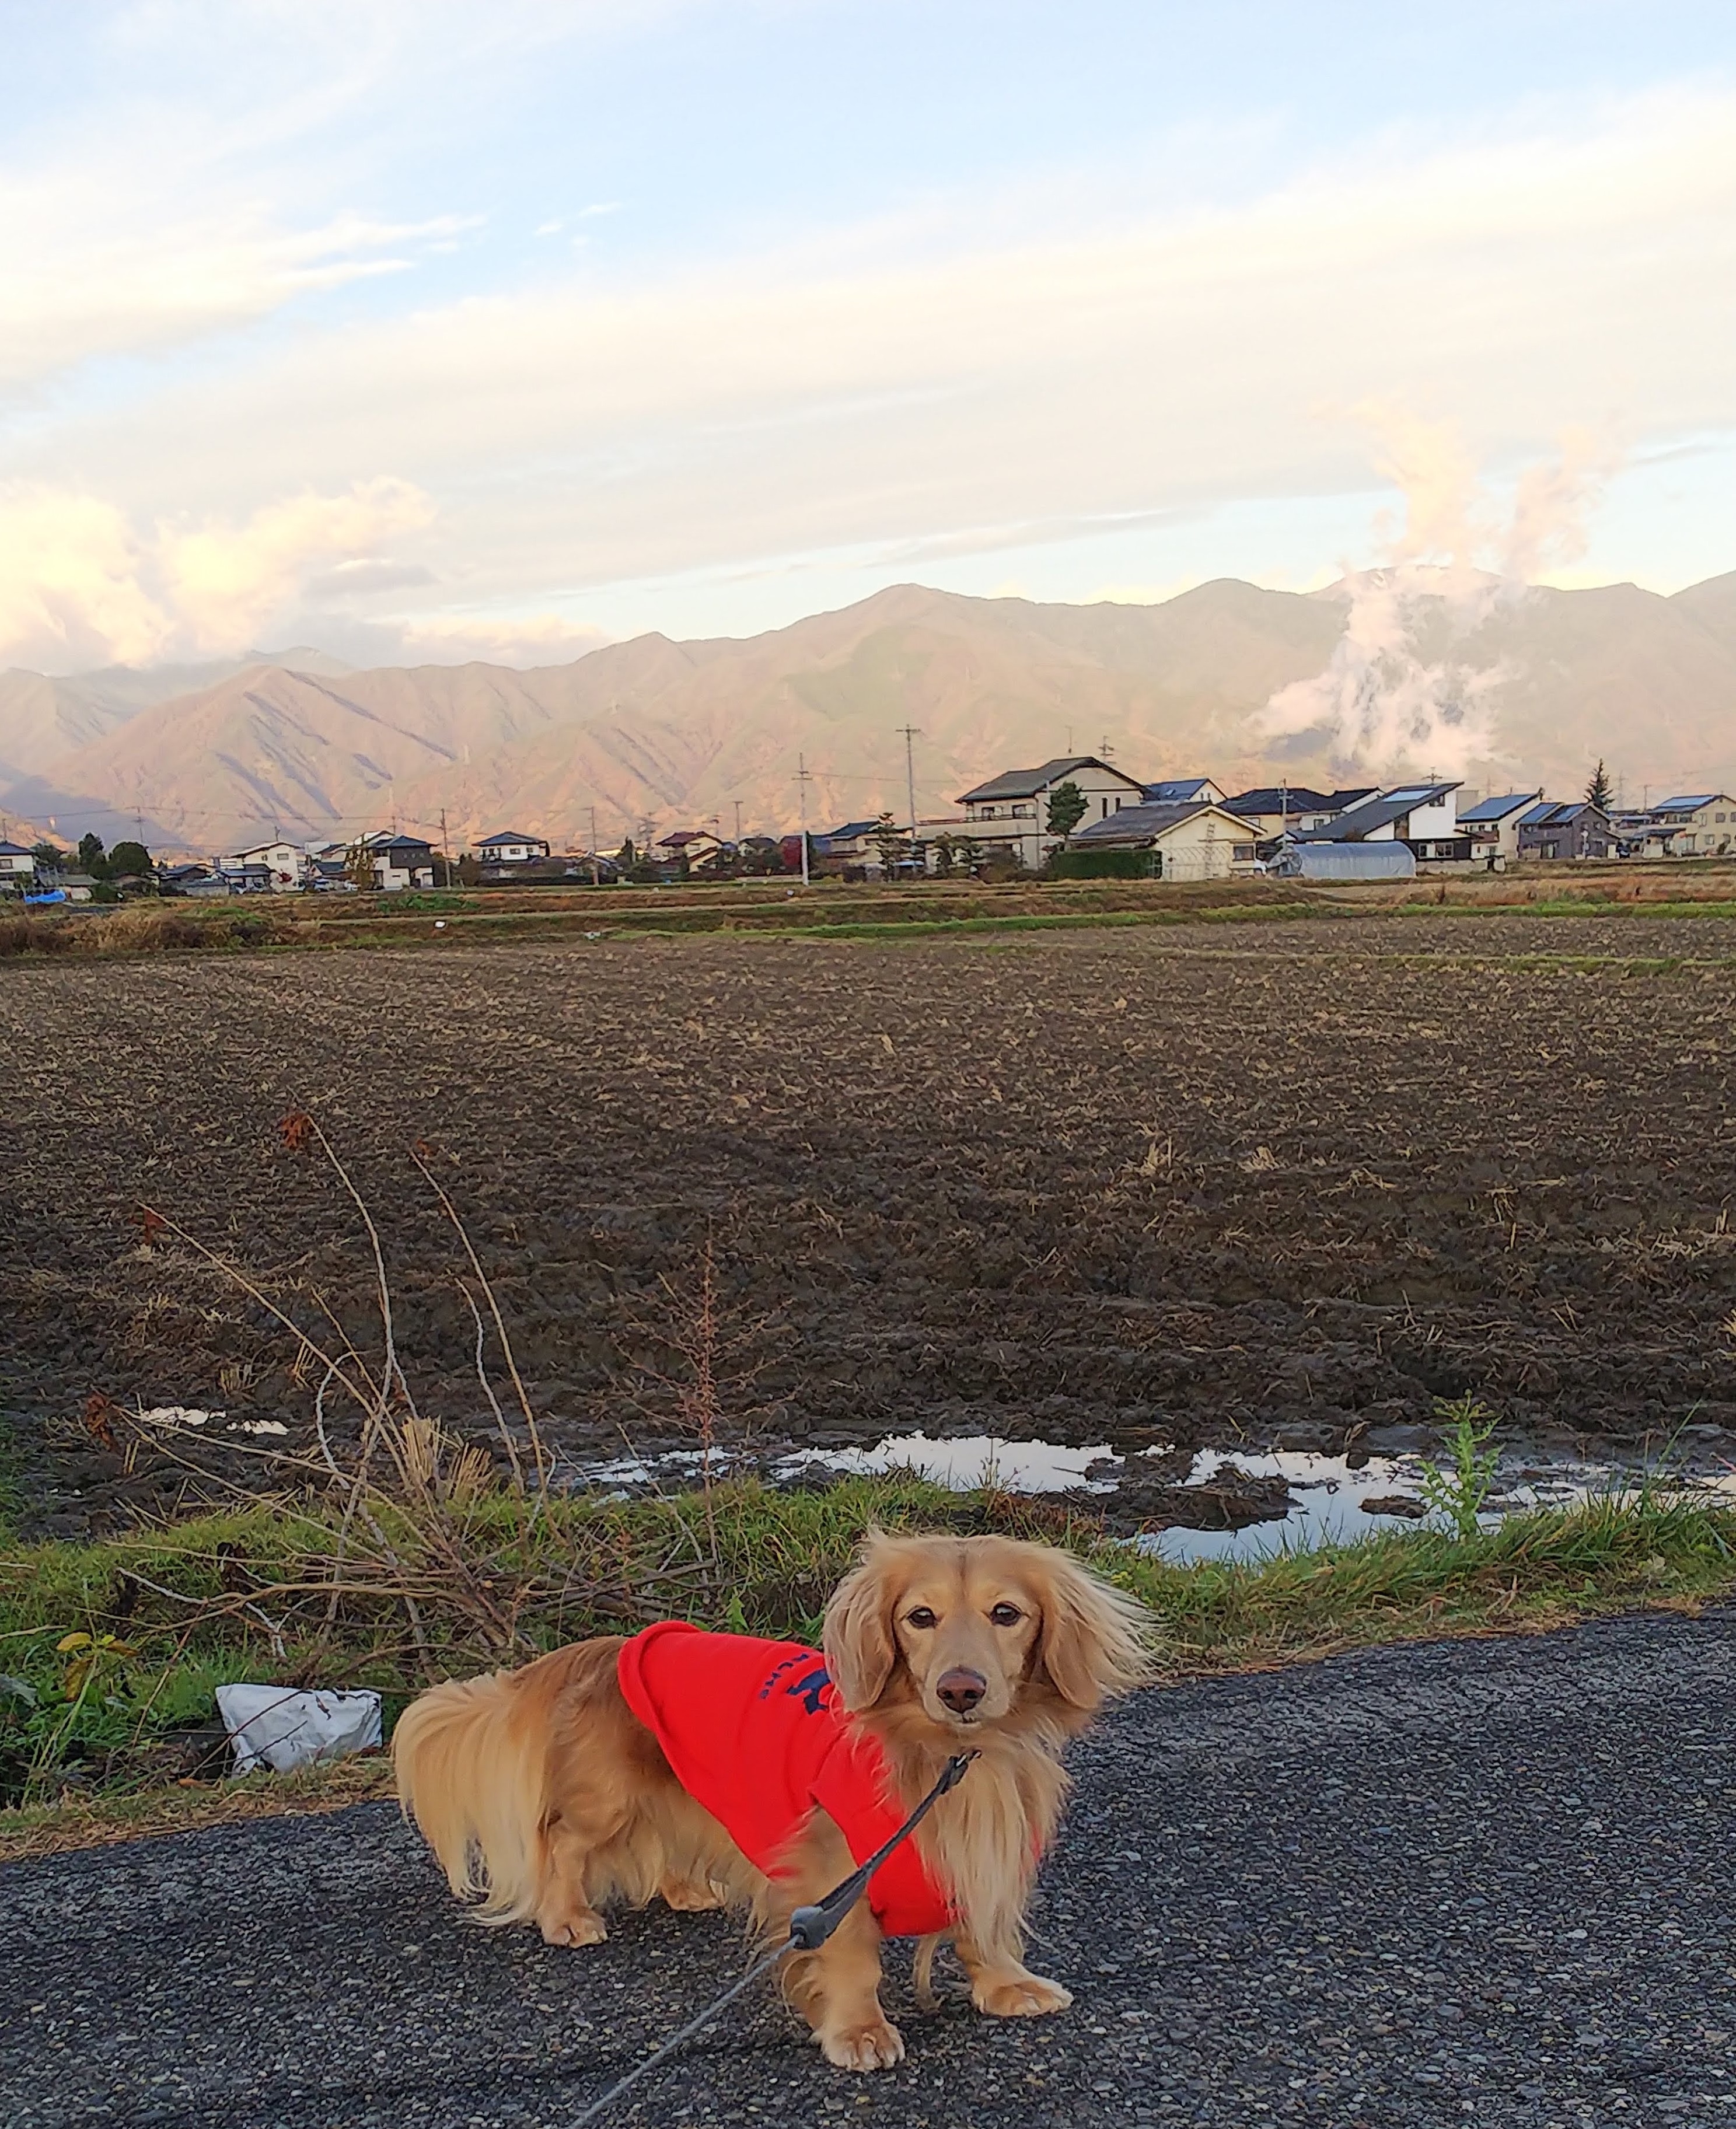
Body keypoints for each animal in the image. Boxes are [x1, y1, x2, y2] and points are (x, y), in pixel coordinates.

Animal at [394, 1541, 1150, 2069]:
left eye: (1006, 1613)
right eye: (920, 1617)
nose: (960, 1689)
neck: (947, 1761)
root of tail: (610, 1646)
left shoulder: (982, 1852)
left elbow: (981, 1930)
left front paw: (1006, 1986)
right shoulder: (833, 1872)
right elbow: (852, 1959)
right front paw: (859, 2030)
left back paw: (684, 1891)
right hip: (604, 1800)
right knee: (563, 1844)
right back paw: (567, 1917)